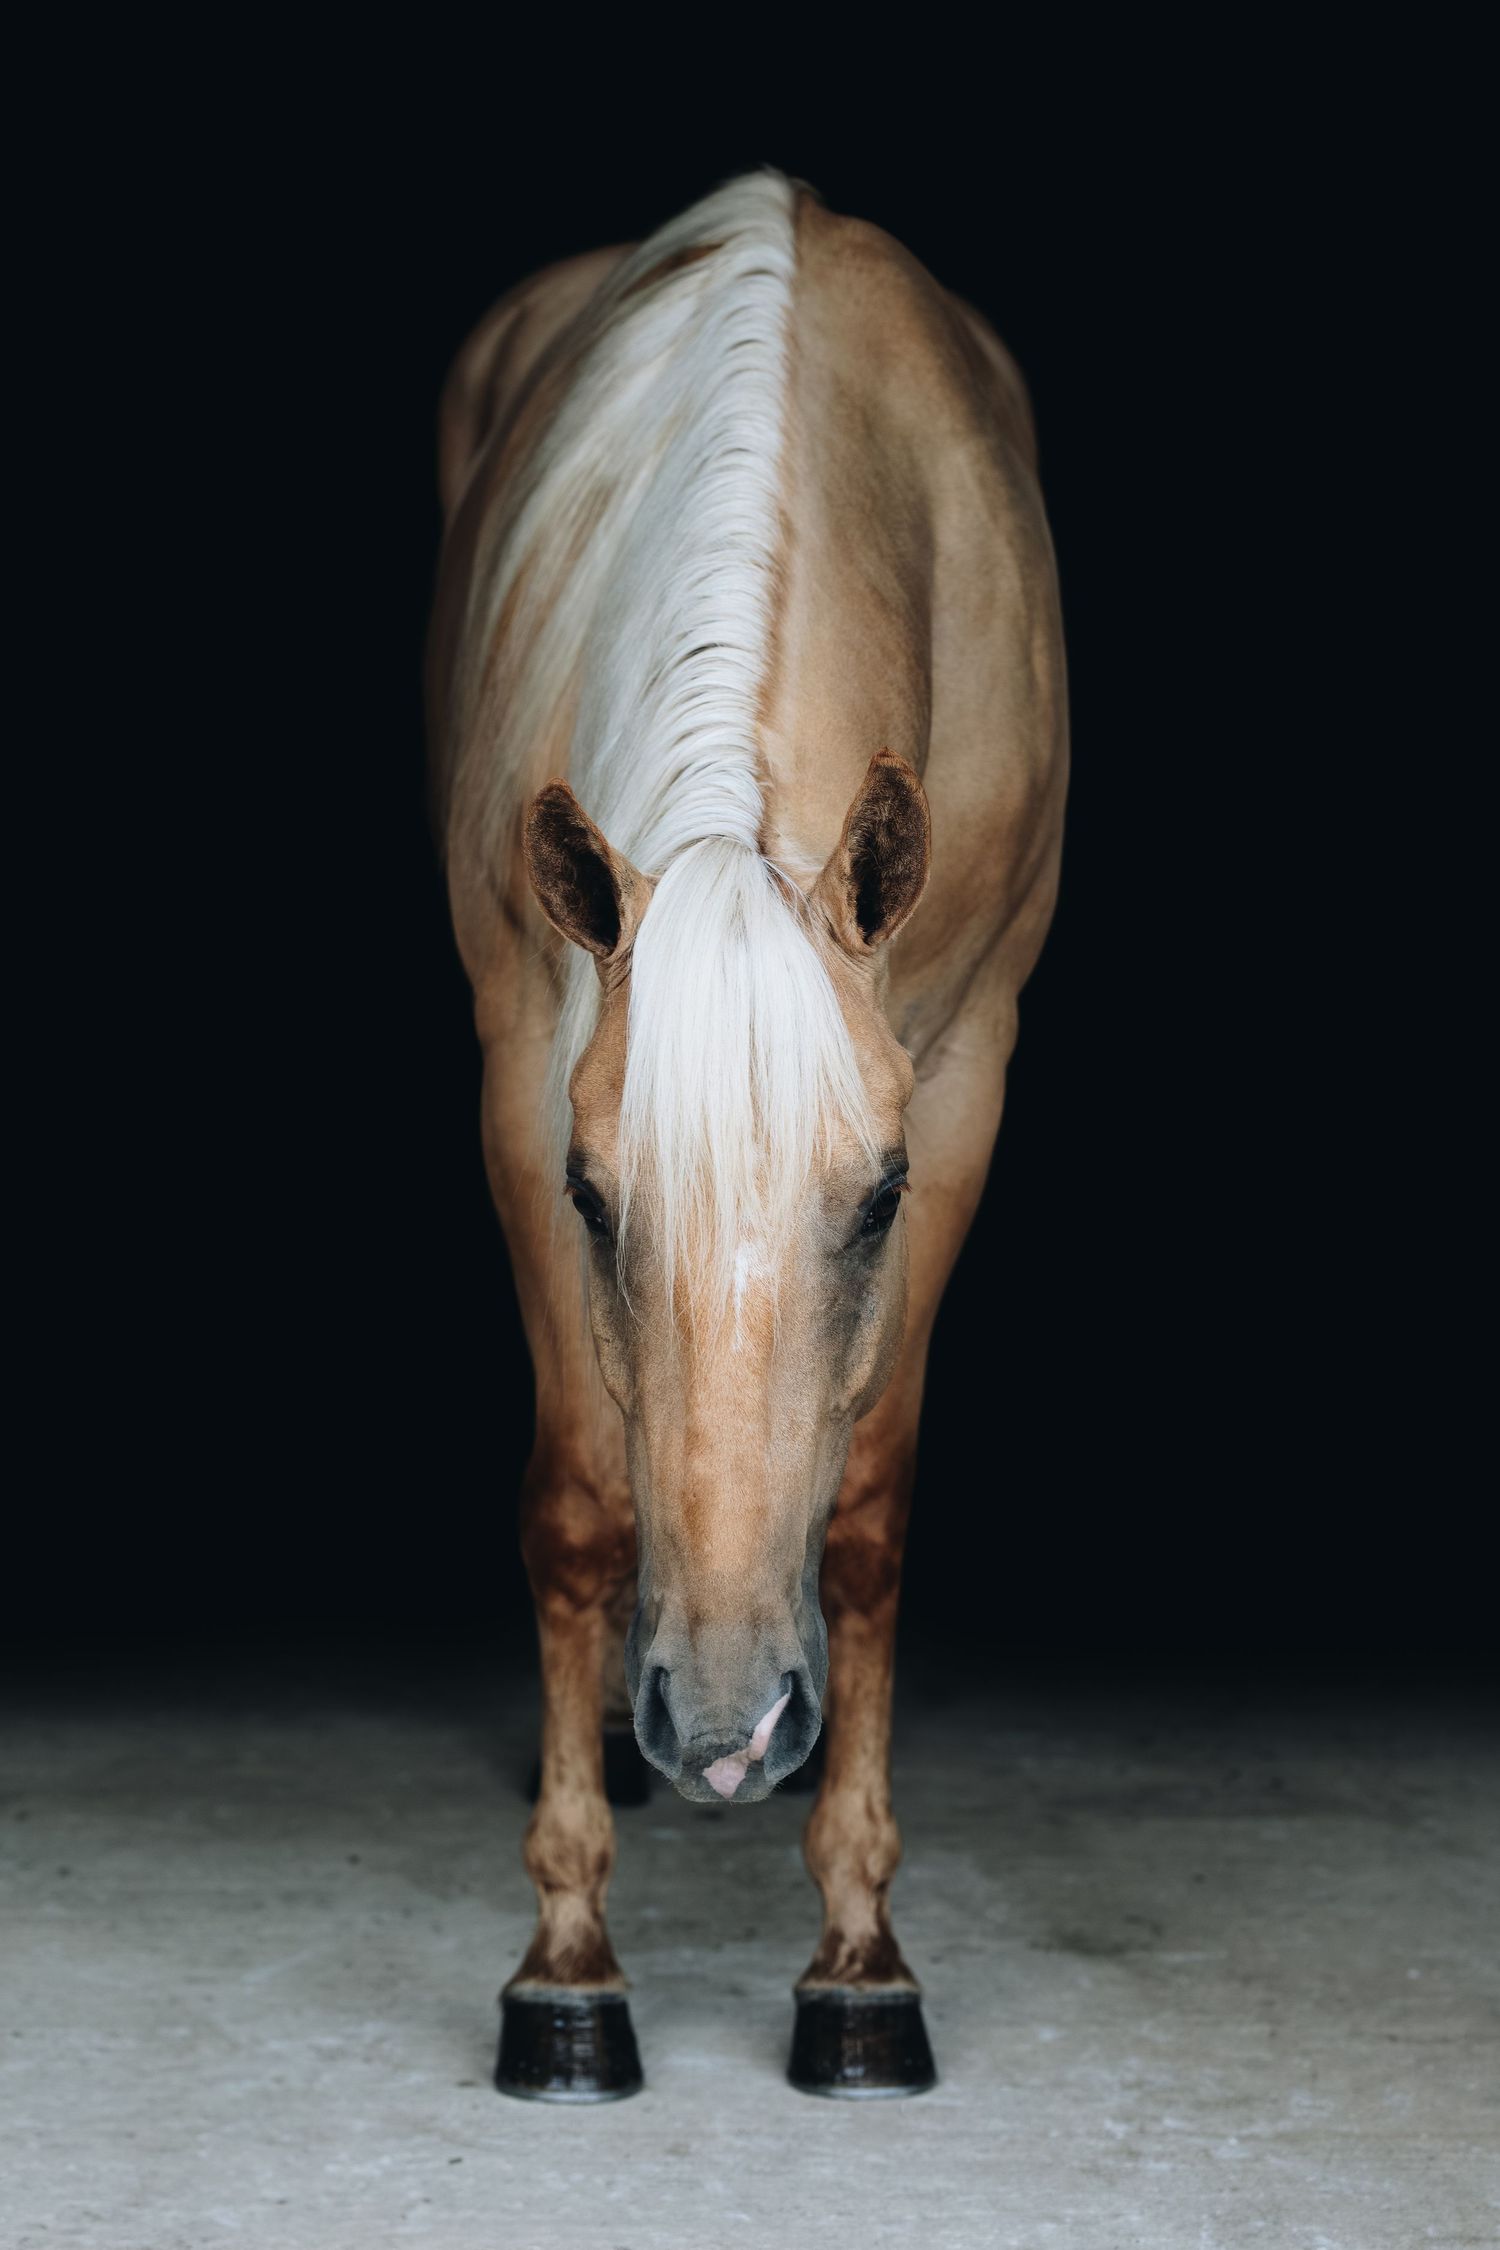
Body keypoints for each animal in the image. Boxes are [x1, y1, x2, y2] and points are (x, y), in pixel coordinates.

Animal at [427, 170, 1067, 2101]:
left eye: (878, 1202)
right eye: (591, 1197)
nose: (723, 1729)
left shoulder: (965, 1074)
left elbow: (861, 1523)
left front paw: (859, 1966)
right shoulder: (523, 1068)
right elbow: (578, 1508)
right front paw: (567, 1972)